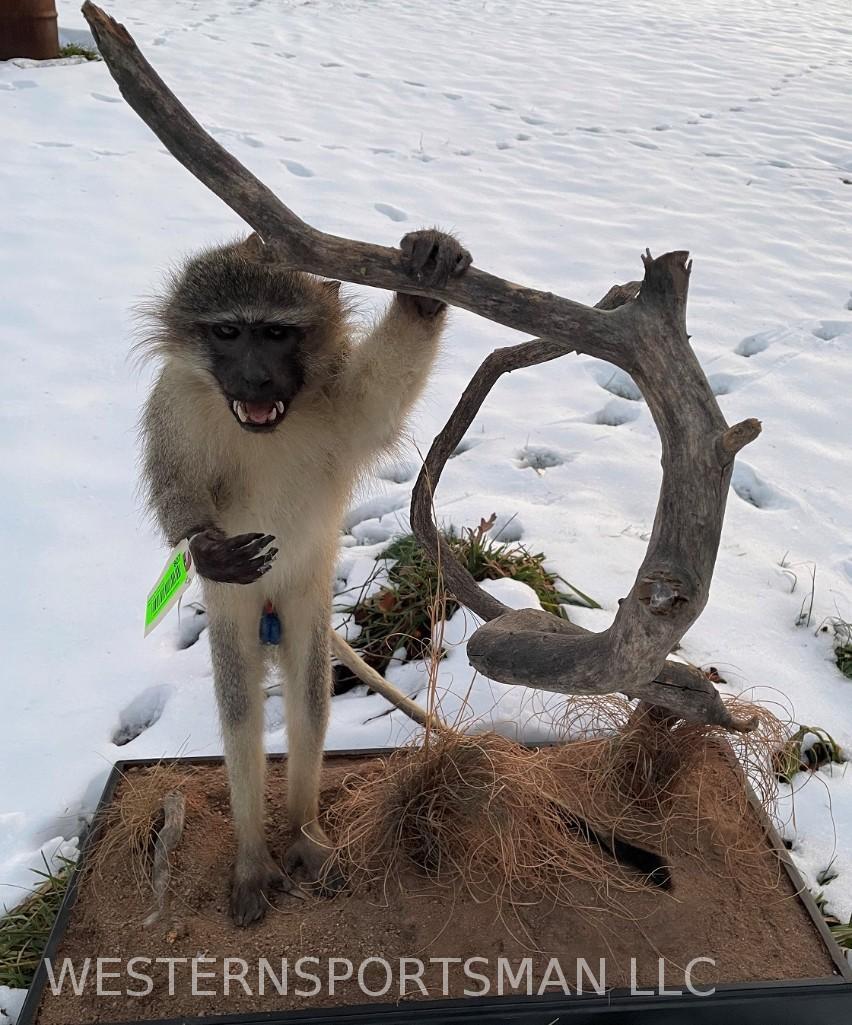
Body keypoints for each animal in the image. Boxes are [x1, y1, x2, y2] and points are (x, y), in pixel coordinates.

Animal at [138, 228, 471, 925]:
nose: (255, 377)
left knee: (310, 698)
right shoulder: (172, 406)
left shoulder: (339, 402)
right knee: (239, 709)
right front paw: (203, 545)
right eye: (229, 333)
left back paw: (303, 833)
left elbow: (379, 399)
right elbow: (176, 488)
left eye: (276, 334)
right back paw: (252, 860)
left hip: (305, 594)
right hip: (236, 607)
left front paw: (428, 274)